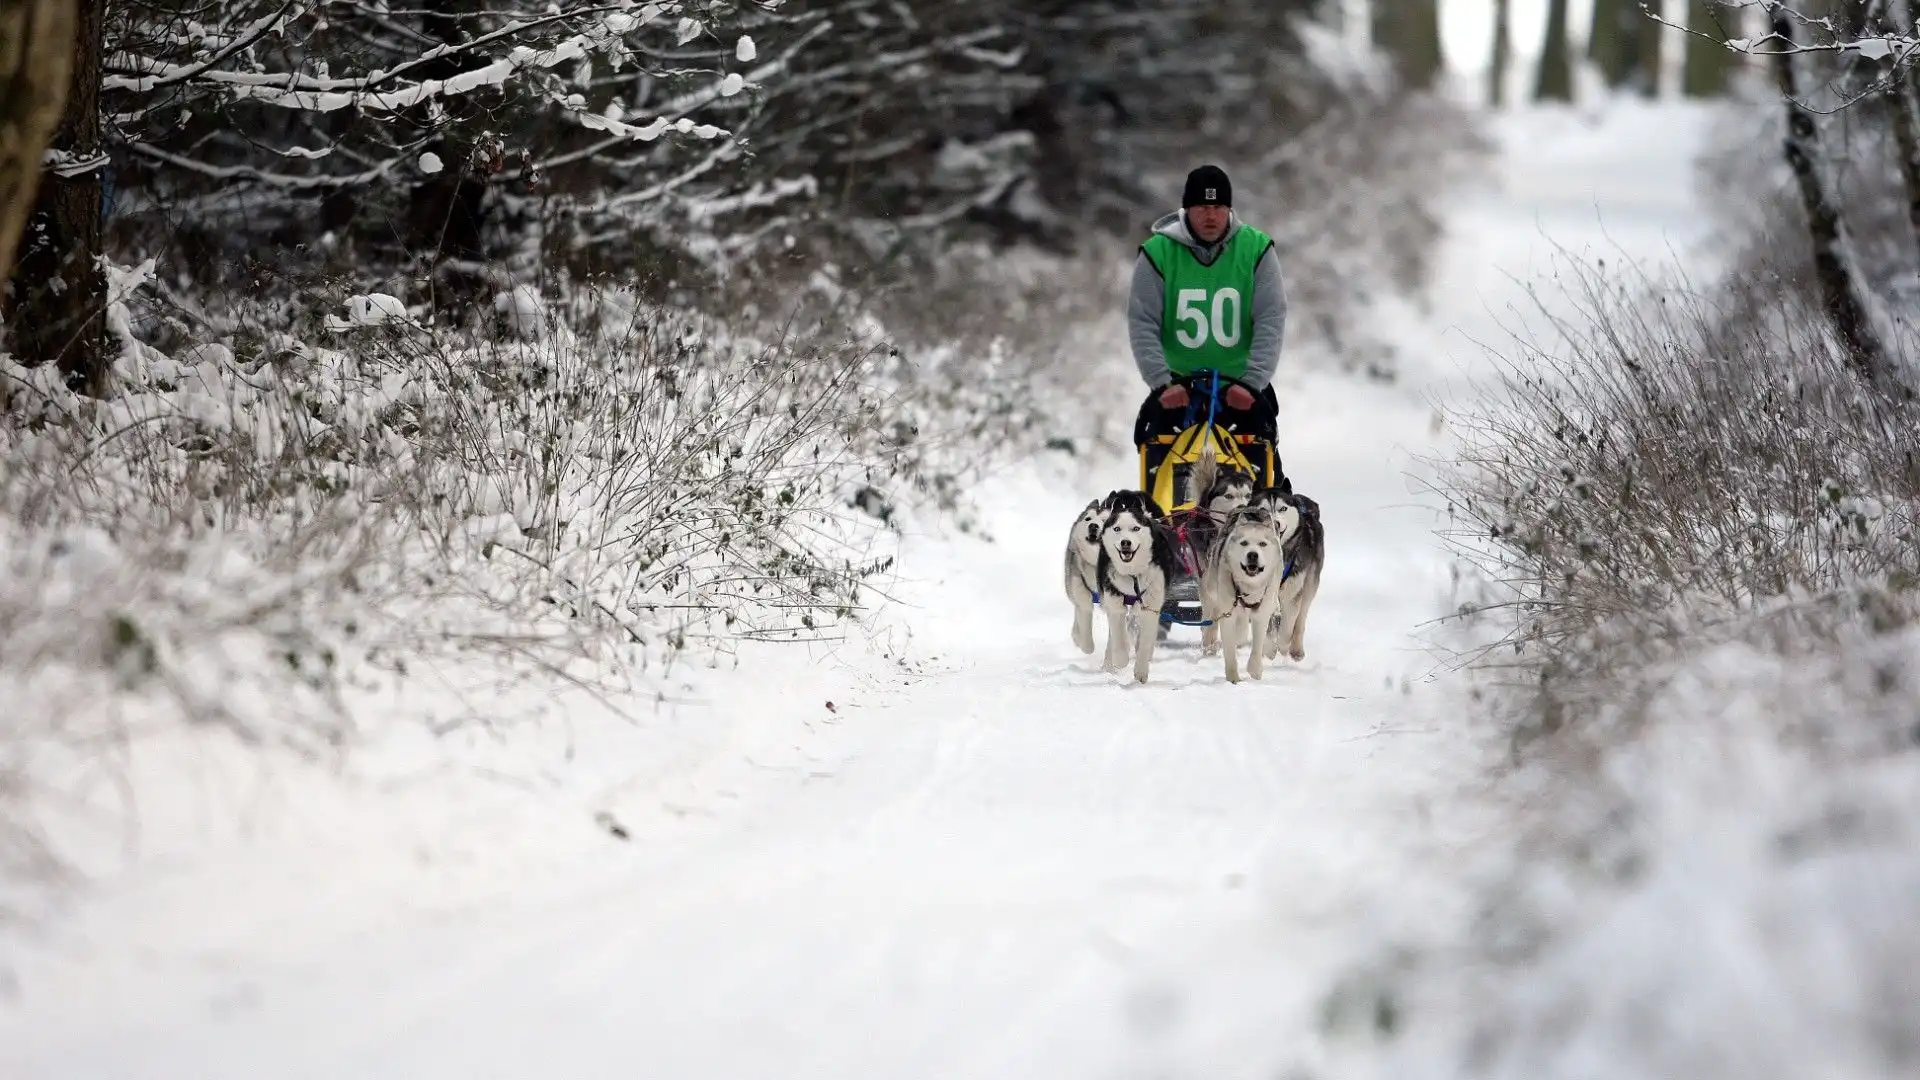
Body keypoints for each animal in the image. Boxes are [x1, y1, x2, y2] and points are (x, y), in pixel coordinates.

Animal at [1105, 488, 1175, 680]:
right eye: (1116, 528)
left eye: (1136, 528)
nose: (1125, 542)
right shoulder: (1114, 602)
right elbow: (1118, 635)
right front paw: (1118, 660)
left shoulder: (1151, 606)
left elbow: (1145, 640)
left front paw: (1141, 670)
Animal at [1198, 499, 1290, 680]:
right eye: (1244, 543)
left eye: (1262, 544)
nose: (1252, 554)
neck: (1249, 587)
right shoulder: (1227, 613)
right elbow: (1229, 649)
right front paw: (1233, 679)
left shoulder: (1261, 614)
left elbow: (1257, 645)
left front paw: (1255, 672)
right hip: (1211, 588)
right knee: (1211, 611)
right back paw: (1209, 635)